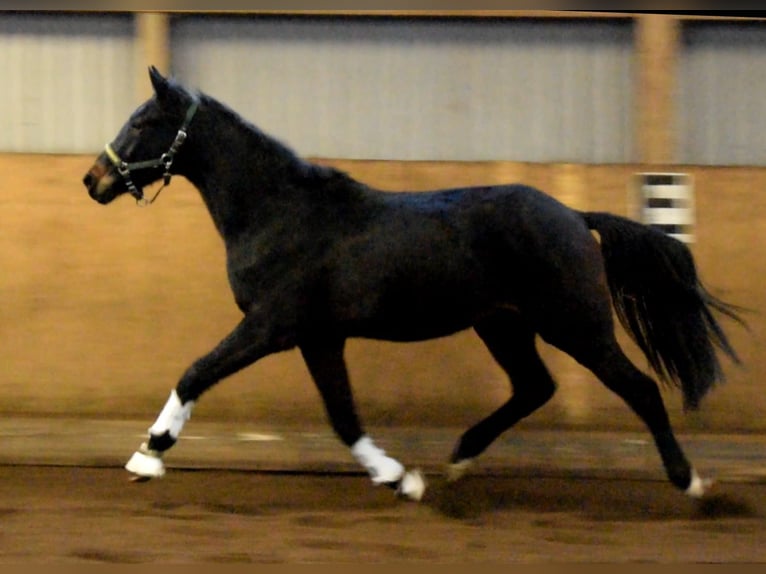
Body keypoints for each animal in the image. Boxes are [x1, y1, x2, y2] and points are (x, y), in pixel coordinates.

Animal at [81, 68, 740, 504]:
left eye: (143, 121)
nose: (93, 179)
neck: (278, 211)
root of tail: (577, 218)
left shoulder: (271, 325)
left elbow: (197, 371)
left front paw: (148, 453)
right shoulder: (319, 337)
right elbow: (343, 417)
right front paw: (401, 477)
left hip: (575, 323)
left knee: (640, 389)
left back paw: (691, 481)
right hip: (503, 324)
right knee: (534, 387)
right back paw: (458, 460)